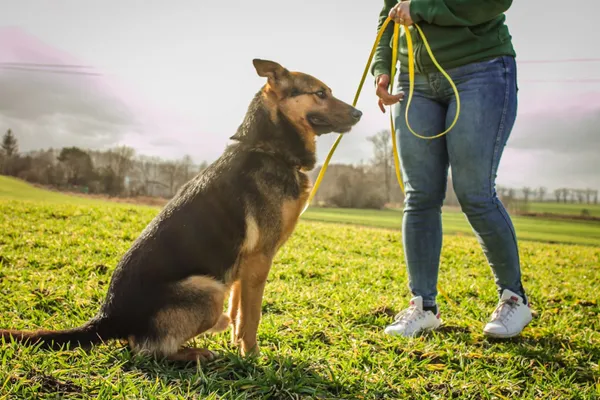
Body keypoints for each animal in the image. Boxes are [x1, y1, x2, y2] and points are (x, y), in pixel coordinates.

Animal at [0, 59, 364, 362]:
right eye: (320, 93)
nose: (360, 114)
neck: (269, 148)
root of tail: (109, 316)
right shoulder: (260, 259)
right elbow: (252, 316)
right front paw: (253, 356)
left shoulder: (244, 267)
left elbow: (238, 313)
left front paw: (239, 348)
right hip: (208, 291)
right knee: (146, 350)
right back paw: (196, 353)